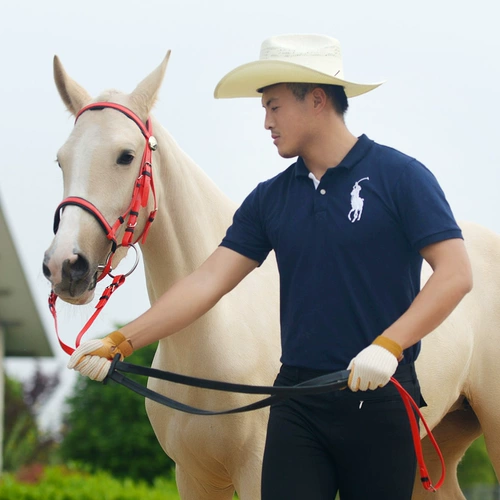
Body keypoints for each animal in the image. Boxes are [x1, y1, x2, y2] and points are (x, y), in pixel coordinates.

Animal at [44, 52, 500, 498]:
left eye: (125, 155)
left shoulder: (256, 471)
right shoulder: (194, 477)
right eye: (60, 159)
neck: (213, 339)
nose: (65, 265)